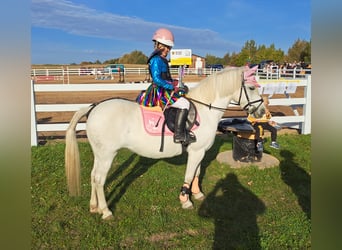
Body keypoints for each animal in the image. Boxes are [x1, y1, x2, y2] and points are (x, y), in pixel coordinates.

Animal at [66, 66, 264, 219]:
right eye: (251, 87)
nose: (262, 112)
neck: (205, 110)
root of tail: (93, 108)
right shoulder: (196, 152)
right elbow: (189, 175)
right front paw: (185, 201)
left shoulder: (199, 152)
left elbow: (197, 173)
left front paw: (197, 194)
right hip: (107, 155)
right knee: (100, 180)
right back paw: (106, 211)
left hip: (99, 155)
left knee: (93, 176)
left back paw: (94, 207)